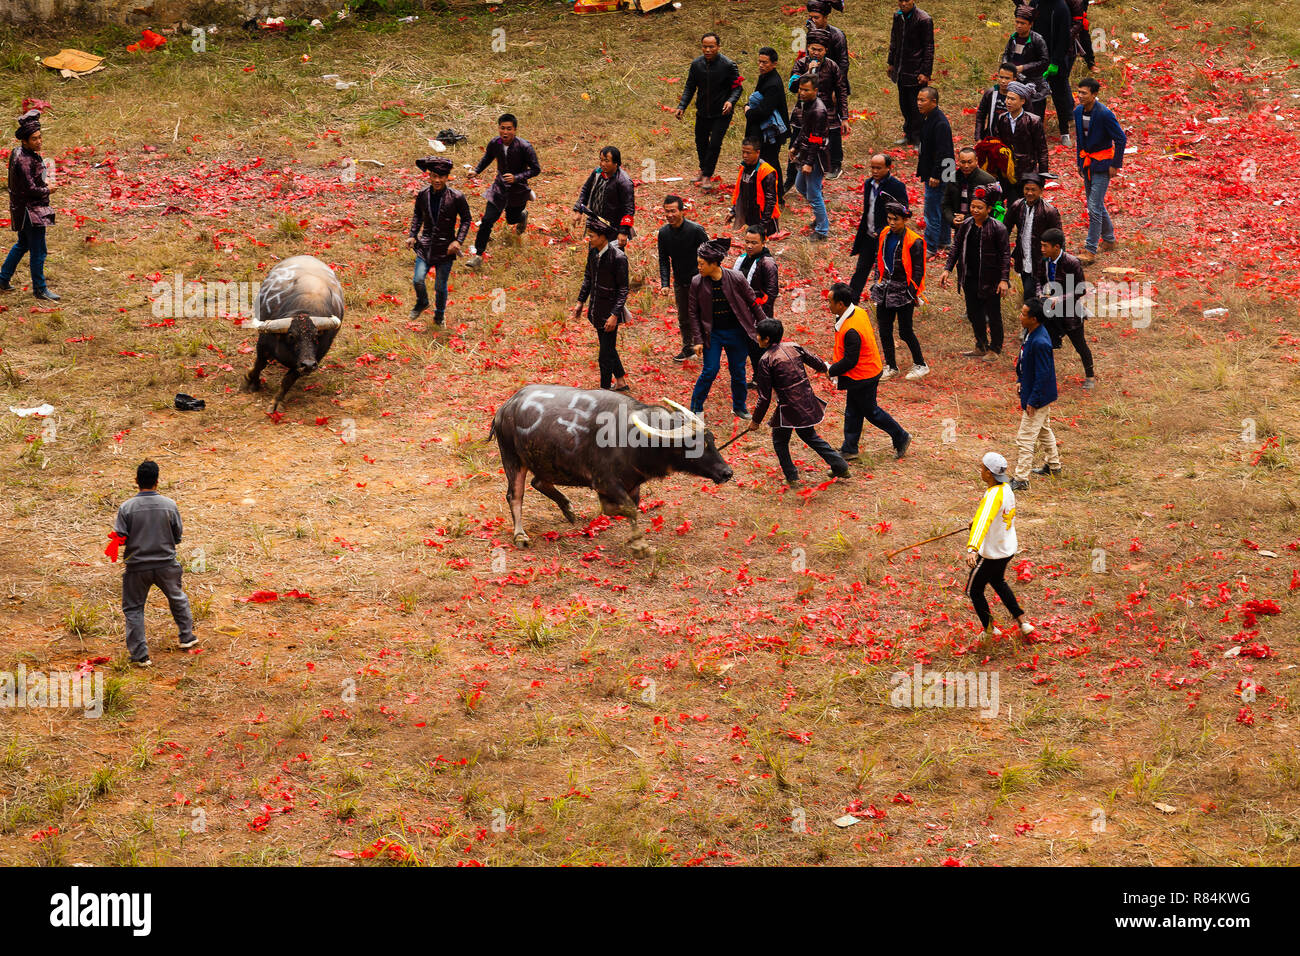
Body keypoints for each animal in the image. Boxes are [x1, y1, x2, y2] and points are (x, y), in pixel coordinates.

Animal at [241, 255, 343, 413]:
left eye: (316, 336)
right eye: (291, 336)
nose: (309, 365)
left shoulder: (313, 358)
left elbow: (288, 380)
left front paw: (277, 402)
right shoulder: (263, 344)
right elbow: (260, 364)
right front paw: (251, 381)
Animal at [490, 385, 734, 557]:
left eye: (711, 440)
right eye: (695, 444)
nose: (726, 472)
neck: (636, 440)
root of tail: (505, 408)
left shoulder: (632, 484)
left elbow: (626, 508)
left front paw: (632, 538)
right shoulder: (605, 482)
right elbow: (627, 509)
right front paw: (639, 545)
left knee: (538, 482)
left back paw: (568, 508)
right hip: (511, 458)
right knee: (515, 495)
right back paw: (520, 536)